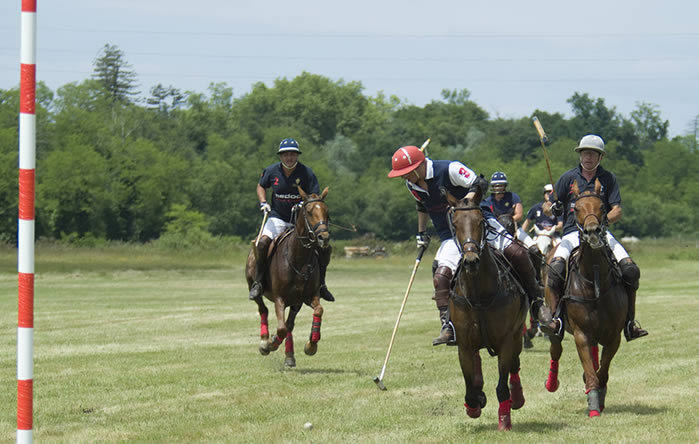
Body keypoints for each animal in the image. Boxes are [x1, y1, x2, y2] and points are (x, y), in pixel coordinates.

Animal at [246, 186, 330, 366]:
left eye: (327, 212)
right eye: (309, 211)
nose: (324, 237)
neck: (299, 259)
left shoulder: (308, 296)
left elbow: (318, 310)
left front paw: (311, 345)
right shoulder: (280, 298)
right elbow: (281, 328)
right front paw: (270, 343)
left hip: (295, 301)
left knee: (290, 324)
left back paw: (289, 356)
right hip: (253, 284)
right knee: (263, 309)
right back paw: (264, 341)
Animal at [448, 190, 524, 430]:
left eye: (480, 221)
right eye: (455, 223)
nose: (471, 260)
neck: (478, 295)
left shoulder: (507, 339)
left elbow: (502, 385)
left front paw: (504, 421)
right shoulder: (463, 343)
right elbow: (469, 386)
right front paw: (474, 404)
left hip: (517, 334)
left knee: (515, 365)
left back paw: (517, 398)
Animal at [540, 180, 628, 416]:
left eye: (602, 207)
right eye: (576, 208)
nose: (592, 232)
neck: (593, 278)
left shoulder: (614, 335)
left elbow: (602, 369)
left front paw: (599, 396)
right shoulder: (581, 333)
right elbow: (589, 369)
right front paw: (594, 405)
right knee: (556, 349)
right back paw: (551, 383)